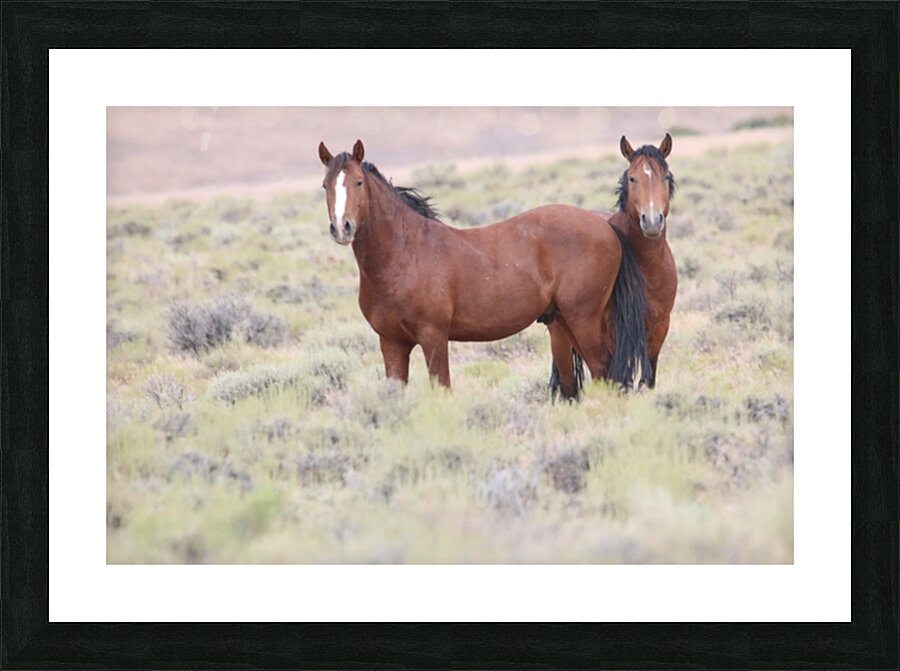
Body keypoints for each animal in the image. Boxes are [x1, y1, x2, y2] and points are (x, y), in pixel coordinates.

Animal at [317, 139, 650, 392]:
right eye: (325, 186)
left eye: (358, 182)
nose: (342, 228)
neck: (404, 255)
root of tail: (605, 227)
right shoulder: (392, 344)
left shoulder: (433, 337)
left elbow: (442, 389)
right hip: (566, 320)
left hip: (583, 318)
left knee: (603, 369)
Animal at [549, 133, 678, 399]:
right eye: (632, 178)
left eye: (665, 177)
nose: (652, 221)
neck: (648, 271)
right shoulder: (611, 334)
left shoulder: (660, 328)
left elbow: (647, 379)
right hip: (562, 336)